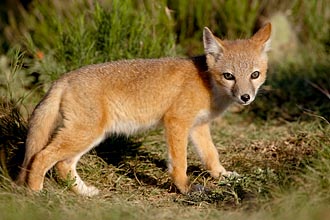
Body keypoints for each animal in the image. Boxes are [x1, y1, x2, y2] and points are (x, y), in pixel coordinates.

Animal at [16, 23, 272, 196]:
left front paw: (223, 176)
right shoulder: (176, 122)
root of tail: (64, 78)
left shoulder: (198, 127)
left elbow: (211, 155)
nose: (246, 97)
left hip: (90, 136)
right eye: (229, 76)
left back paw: (84, 192)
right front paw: (184, 188)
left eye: (254, 75)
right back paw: (37, 195)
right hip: (84, 134)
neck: (207, 83)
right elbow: (180, 162)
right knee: (41, 157)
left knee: (62, 165)